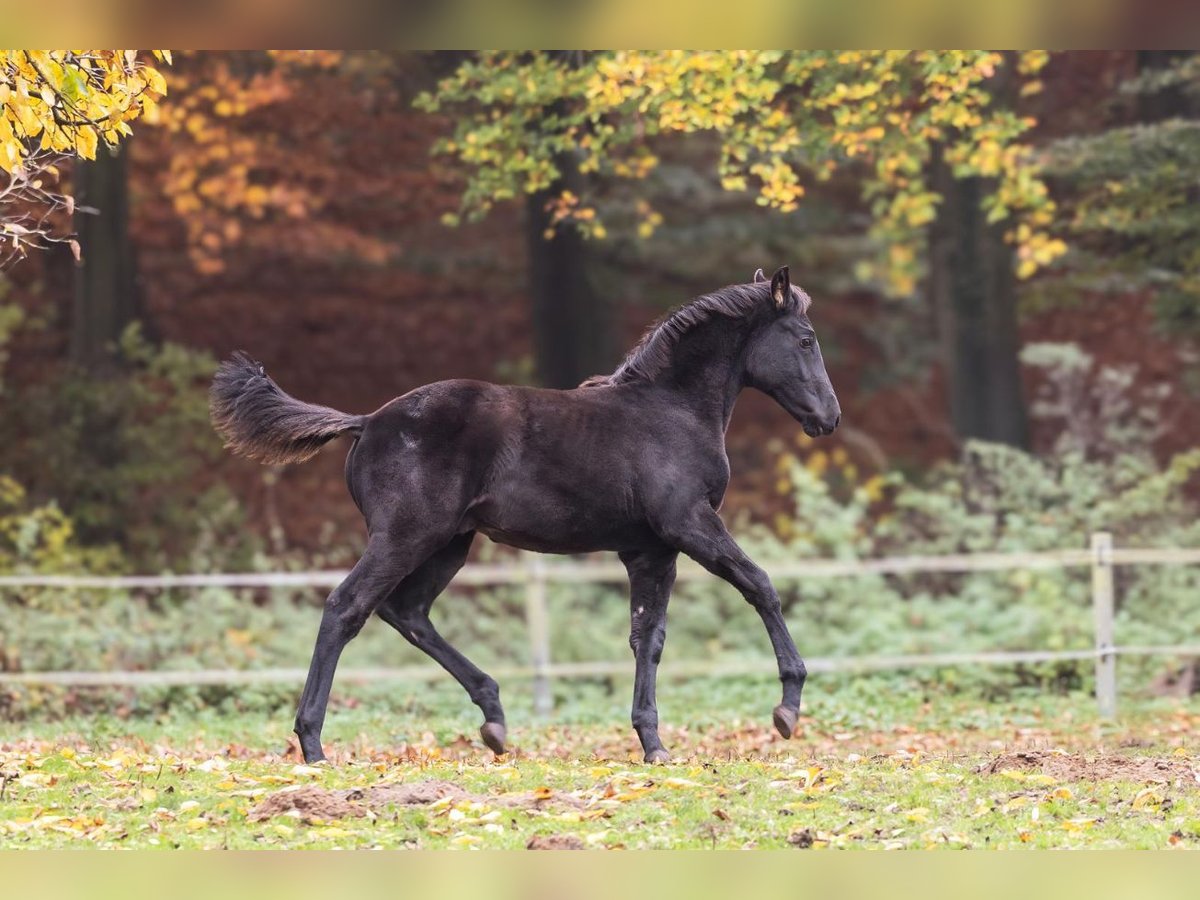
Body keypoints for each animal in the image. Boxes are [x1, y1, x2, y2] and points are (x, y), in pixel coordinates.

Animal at [210, 265, 841, 764]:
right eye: (806, 339)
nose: (829, 418)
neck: (672, 411)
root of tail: (366, 422)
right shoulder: (690, 525)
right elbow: (760, 585)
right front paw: (787, 707)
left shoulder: (650, 549)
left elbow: (648, 637)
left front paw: (652, 744)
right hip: (406, 535)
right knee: (347, 607)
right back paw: (313, 744)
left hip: (448, 544)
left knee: (407, 611)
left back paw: (493, 718)